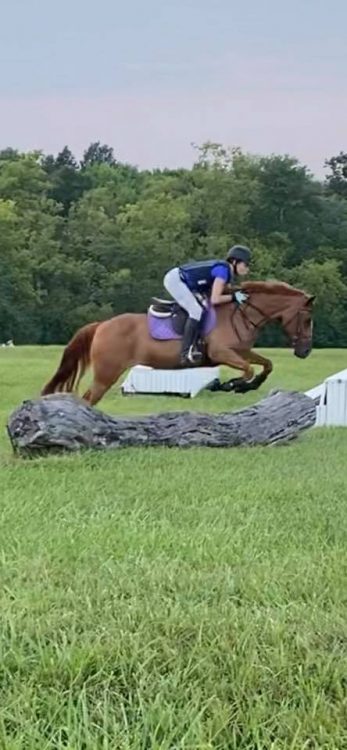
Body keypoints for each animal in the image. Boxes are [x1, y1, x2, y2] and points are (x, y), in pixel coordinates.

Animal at [41, 282, 316, 408]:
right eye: (307, 319)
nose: (305, 352)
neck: (240, 313)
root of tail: (101, 325)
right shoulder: (222, 352)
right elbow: (247, 370)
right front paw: (231, 385)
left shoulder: (241, 351)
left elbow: (266, 364)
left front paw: (249, 385)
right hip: (107, 373)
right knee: (88, 398)